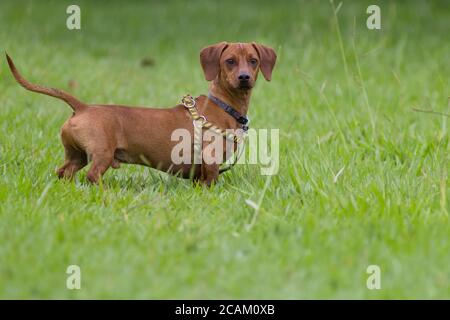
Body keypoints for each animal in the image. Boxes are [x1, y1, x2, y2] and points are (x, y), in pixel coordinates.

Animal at [6, 43, 274, 186]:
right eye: (229, 61)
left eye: (253, 60)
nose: (244, 77)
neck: (223, 105)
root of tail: (82, 107)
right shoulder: (210, 163)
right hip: (102, 154)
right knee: (93, 175)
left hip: (76, 156)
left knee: (64, 172)